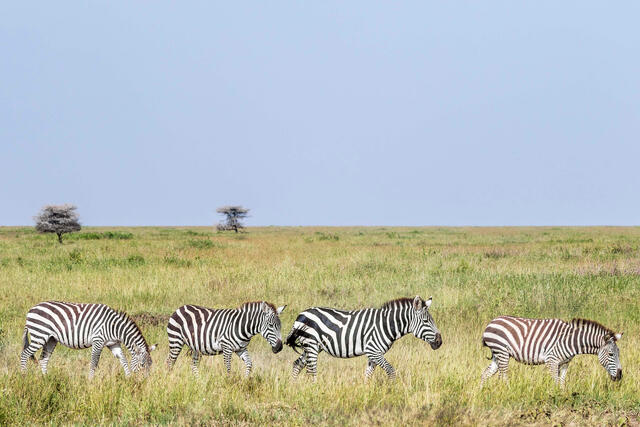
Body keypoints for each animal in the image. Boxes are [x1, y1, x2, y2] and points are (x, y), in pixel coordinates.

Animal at [21, 301, 157, 378]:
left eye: (151, 365)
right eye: (142, 365)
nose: (145, 382)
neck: (114, 327)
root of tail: (30, 310)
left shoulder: (113, 343)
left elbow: (123, 359)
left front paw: (128, 378)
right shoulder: (98, 341)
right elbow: (94, 363)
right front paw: (90, 381)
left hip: (50, 339)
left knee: (43, 359)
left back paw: (46, 379)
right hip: (39, 335)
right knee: (24, 354)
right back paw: (24, 377)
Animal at [285, 296, 442, 380]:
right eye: (426, 321)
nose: (440, 342)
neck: (386, 325)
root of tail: (301, 314)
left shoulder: (373, 354)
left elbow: (368, 375)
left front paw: (366, 393)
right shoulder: (373, 351)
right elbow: (391, 370)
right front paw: (392, 390)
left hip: (312, 346)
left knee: (297, 364)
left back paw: (295, 387)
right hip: (311, 345)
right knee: (311, 370)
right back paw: (314, 389)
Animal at [481, 316, 623, 386]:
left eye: (619, 354)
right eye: (611, 354)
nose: (620, 376)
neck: (571, 341)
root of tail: (492, 322)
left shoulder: (565, 363)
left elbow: (561, 382)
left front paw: (563, 397)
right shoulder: (552, 361)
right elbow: (555, 382)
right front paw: (554, 399)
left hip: (497, 354)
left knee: (485, 374)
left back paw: (483, 393)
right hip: (502, 352)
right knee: (503, 377)